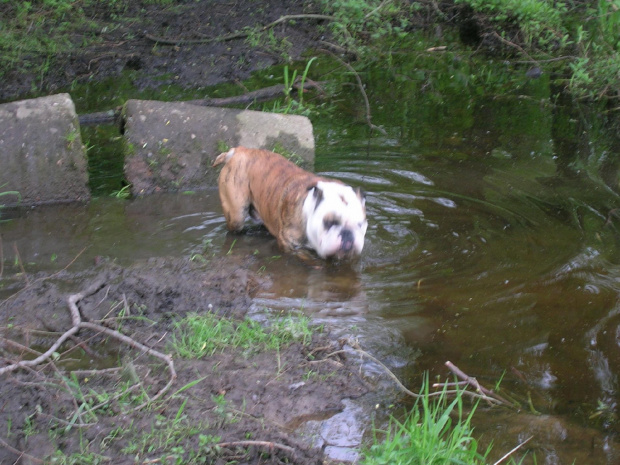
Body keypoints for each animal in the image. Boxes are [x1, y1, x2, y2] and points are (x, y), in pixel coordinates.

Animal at [213, 147, 368, 260]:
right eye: (329, 222)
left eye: (361, 225)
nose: (348, 234)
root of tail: (238, 150)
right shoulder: (290, 245)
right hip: (236, 215)